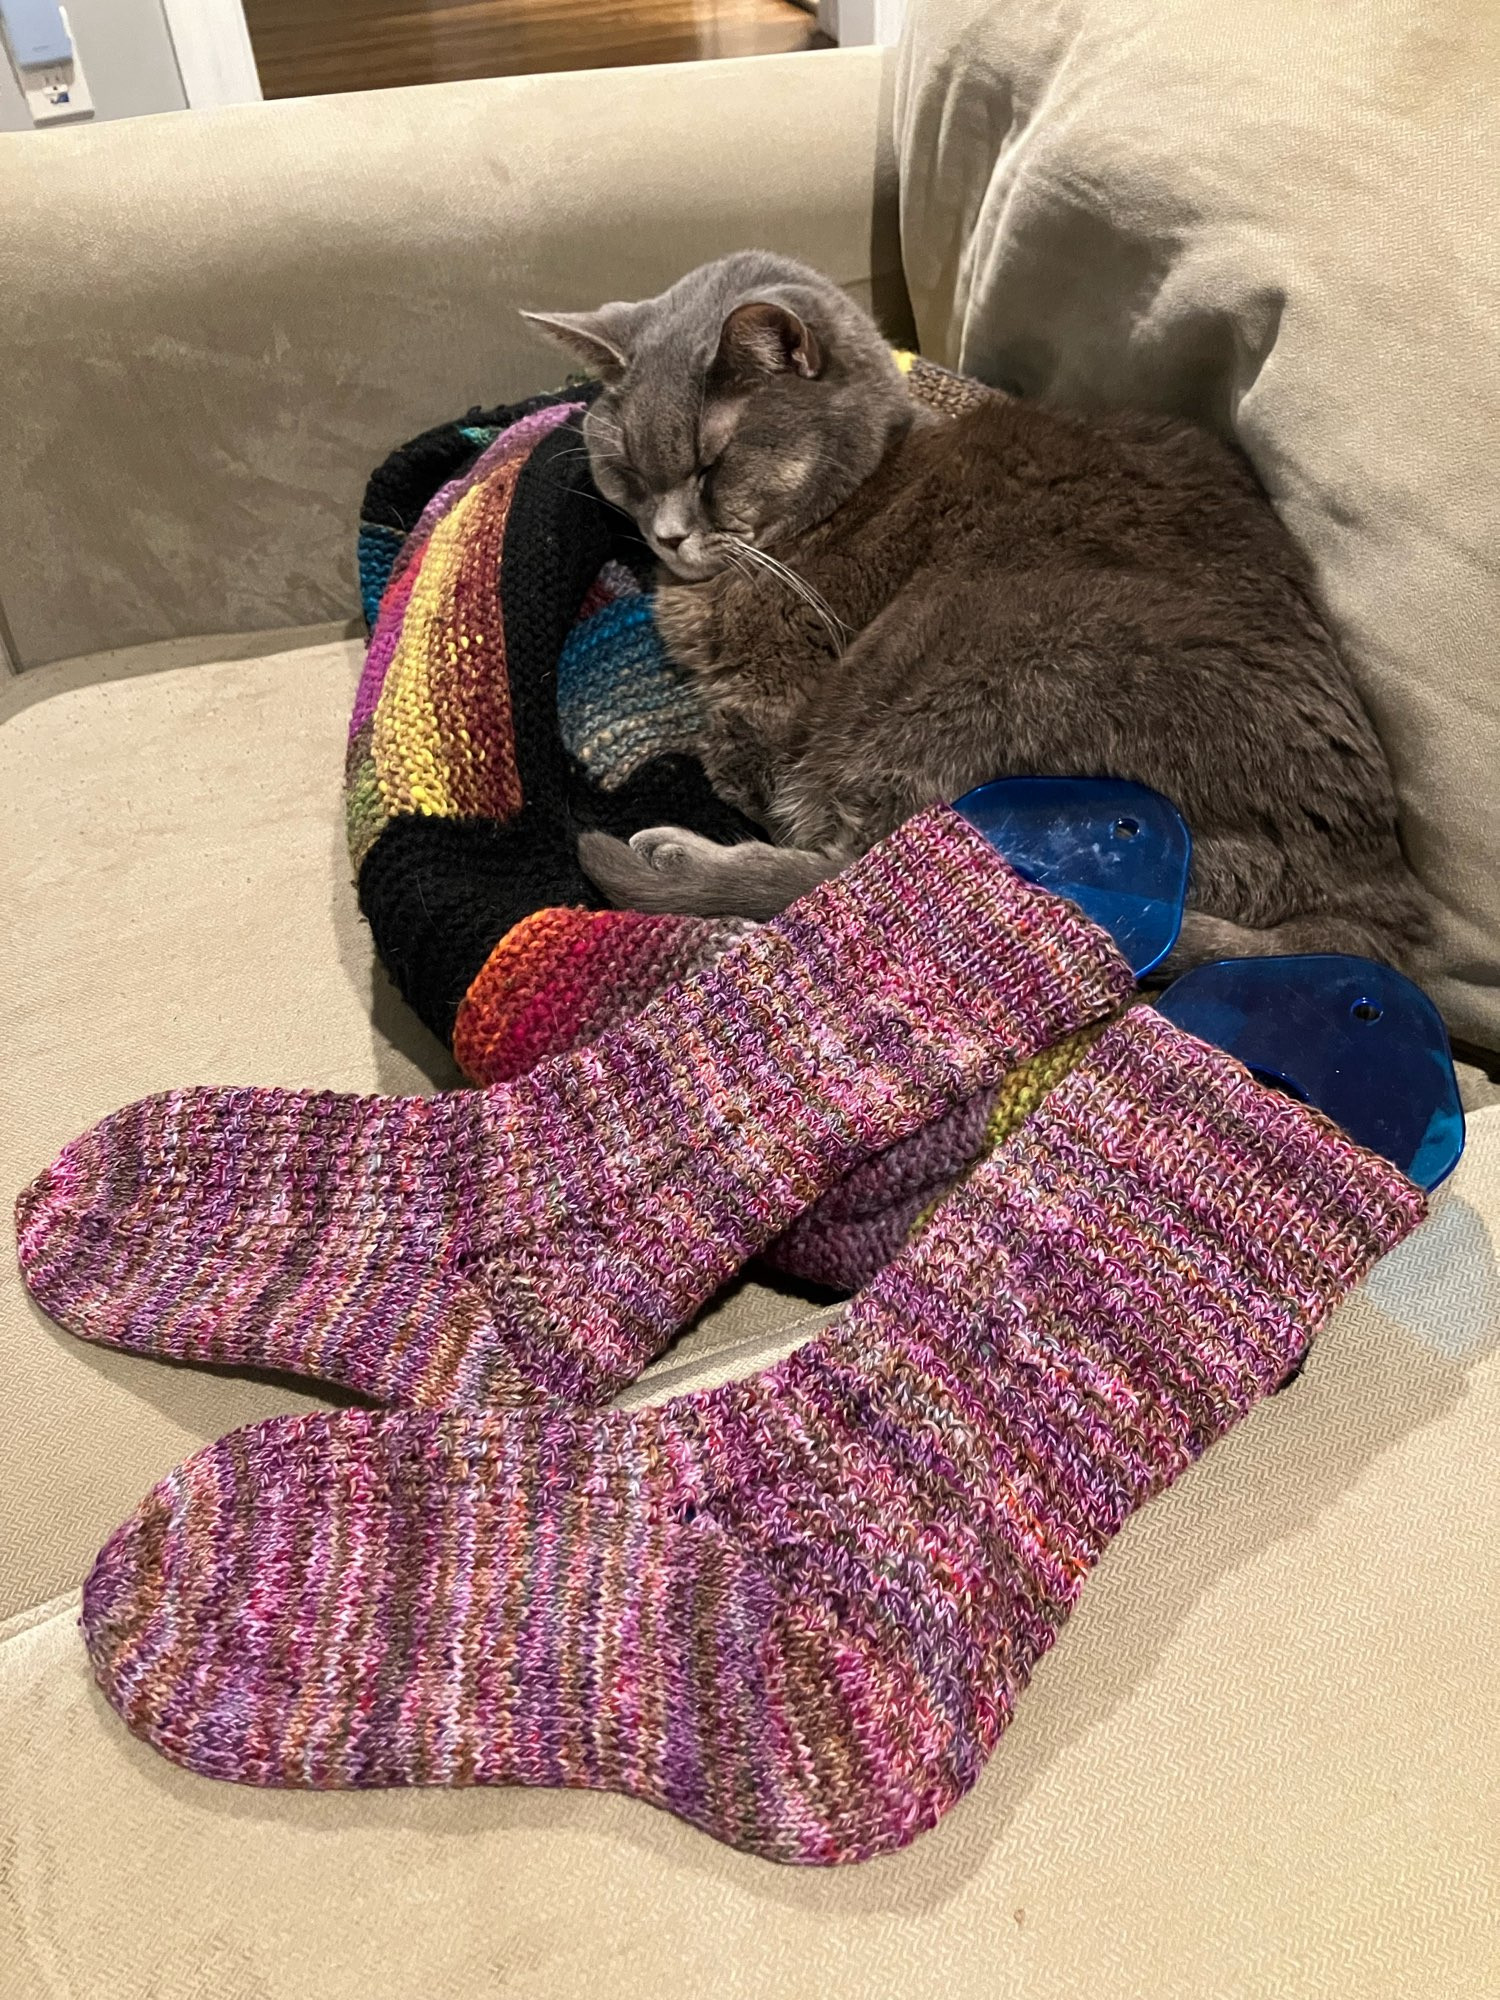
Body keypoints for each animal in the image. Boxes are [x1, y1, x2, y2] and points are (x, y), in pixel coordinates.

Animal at [528, 254, 1432, 972]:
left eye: (711, 465)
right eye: (625, 472)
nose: (666, 533)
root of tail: (1373, 899)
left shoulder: (770, 704)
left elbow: (735, 758)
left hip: (955, 683)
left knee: (870, 869)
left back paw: (674, 854)